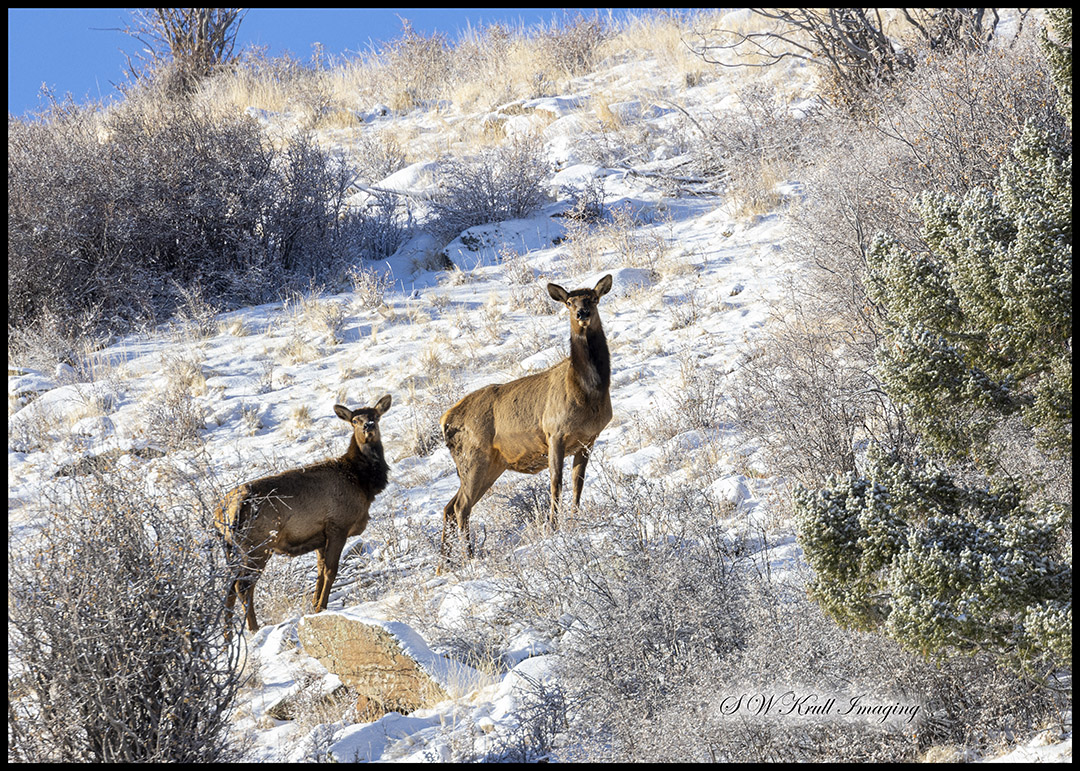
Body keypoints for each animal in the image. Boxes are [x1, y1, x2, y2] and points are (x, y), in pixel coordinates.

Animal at [214, 394, 392, 633]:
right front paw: (321, 608)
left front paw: (314, 606)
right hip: (257, 545)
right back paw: (253, 628)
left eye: (376, 415)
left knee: (229, 586)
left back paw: (227, 636)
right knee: (243, 586)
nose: (368, 426)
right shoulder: (338, 525)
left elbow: (320, 572)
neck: (362, 483)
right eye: (355, 420)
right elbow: (331, 571)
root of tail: (224, 512)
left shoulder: (320, 536)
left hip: (229, 547)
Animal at [439, 274, 613, 568]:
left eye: (593, 298)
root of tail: (445, 422)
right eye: (569, 302)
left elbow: (578, 482)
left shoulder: (588, 439)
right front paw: (553, 526)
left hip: (489, 464)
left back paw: (445, 564)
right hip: (474, 457)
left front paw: (575, 518)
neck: (588, 391)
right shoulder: (555, 432)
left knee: (449, 506)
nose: (582, 313)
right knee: (462, 506)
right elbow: (556, 482)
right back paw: (470, 557)